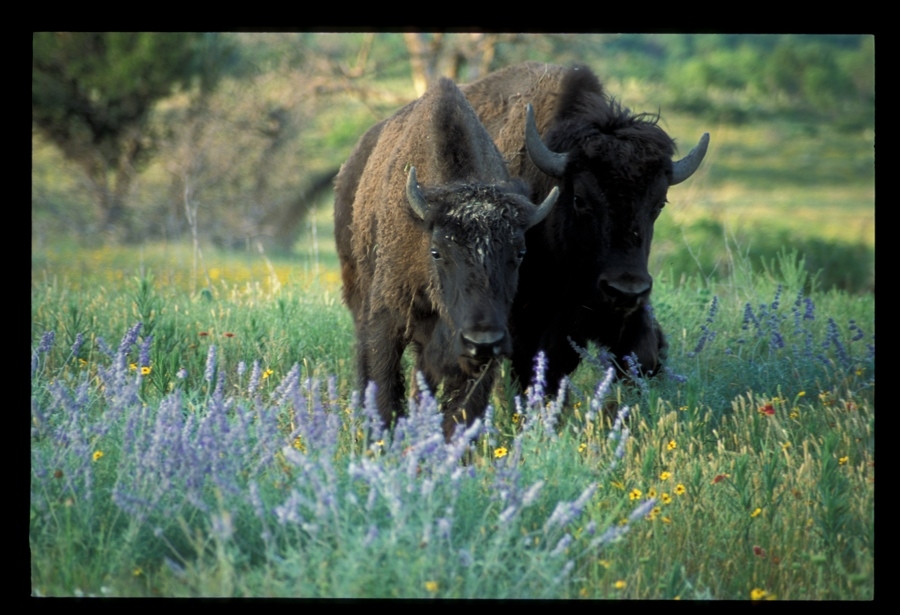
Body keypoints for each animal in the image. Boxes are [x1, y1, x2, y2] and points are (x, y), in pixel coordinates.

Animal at [334, 78, 556, 438]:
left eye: (520, 252)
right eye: (437, 251)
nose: (482, 341)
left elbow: (462, 411)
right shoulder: (386, 319)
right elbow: (384, 388)